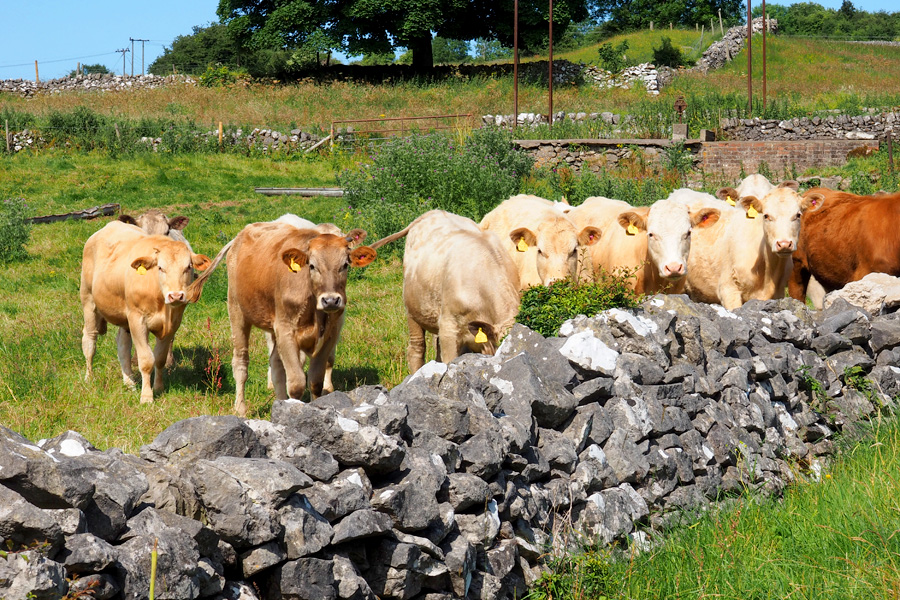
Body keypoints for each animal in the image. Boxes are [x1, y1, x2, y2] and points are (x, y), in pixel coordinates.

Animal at [80, 219, 213, 404]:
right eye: (160, 268)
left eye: (188, 267)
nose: (176, 295)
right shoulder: (137, 320)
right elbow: (146, 360)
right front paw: (147, 396)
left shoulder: (172, 324)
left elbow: (160, 358)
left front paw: (158, 388)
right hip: (88, 300)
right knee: (89, 339)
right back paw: (89, 378)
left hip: (124, 317)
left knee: (123, 345)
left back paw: (129, 382)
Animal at [225, 221, 380, 418]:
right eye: (312, 266)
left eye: (345, 265)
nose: (331, 300)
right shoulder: (286, 329)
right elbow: (297, 383)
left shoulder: (331, 333)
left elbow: (315, 380)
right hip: (237, 310)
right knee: (241, 361)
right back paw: (241, 408)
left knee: (276, 364)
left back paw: (279, 402)